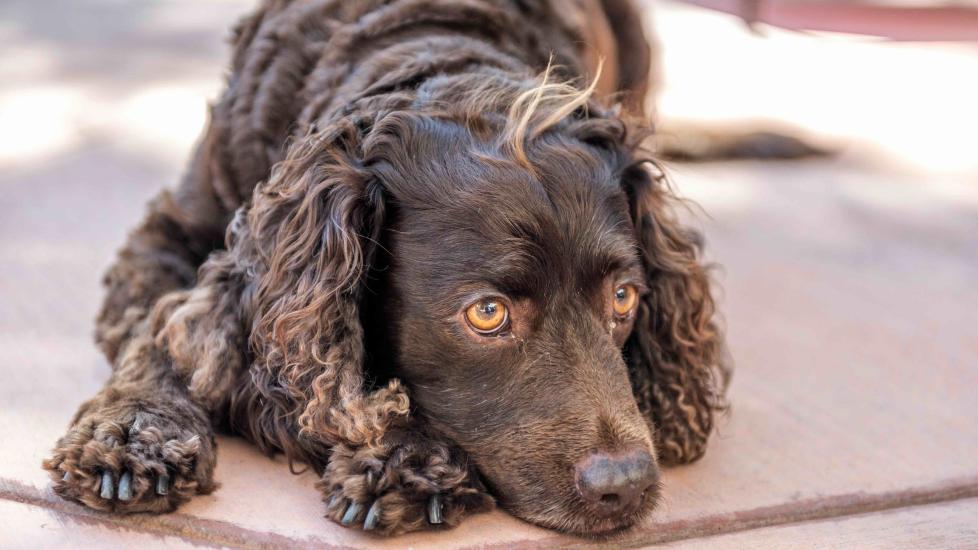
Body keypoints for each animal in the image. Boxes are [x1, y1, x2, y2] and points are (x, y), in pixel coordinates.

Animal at [42, 0, 724, 536]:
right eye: (487, 313)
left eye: (623, 298)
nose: (627, 485)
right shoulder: (168, 235)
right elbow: (159, 334)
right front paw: (133, 434)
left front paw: (404, 458)